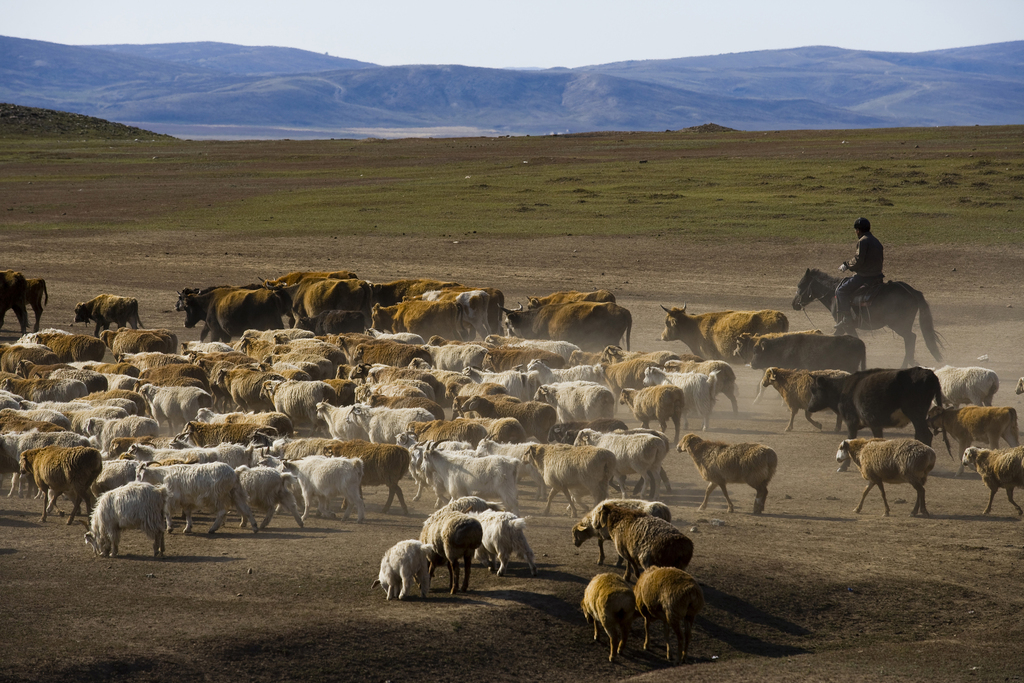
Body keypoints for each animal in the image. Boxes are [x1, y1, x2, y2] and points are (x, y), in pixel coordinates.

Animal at [790, 270, 942, 370]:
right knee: (910, 339)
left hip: (898, 325)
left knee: (910, 338)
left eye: (800, 285)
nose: (794, 304)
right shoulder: (841, 327)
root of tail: (911, 291)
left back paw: (905, 364)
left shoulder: (847, 325)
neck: (833, 294)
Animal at [806, 368, 942, 448]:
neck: (842, 390)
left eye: (813, 389)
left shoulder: (851, 422)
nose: (809, 407)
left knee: (924, 435)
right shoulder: (875, 425)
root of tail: (930, 375)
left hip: (916, 415)